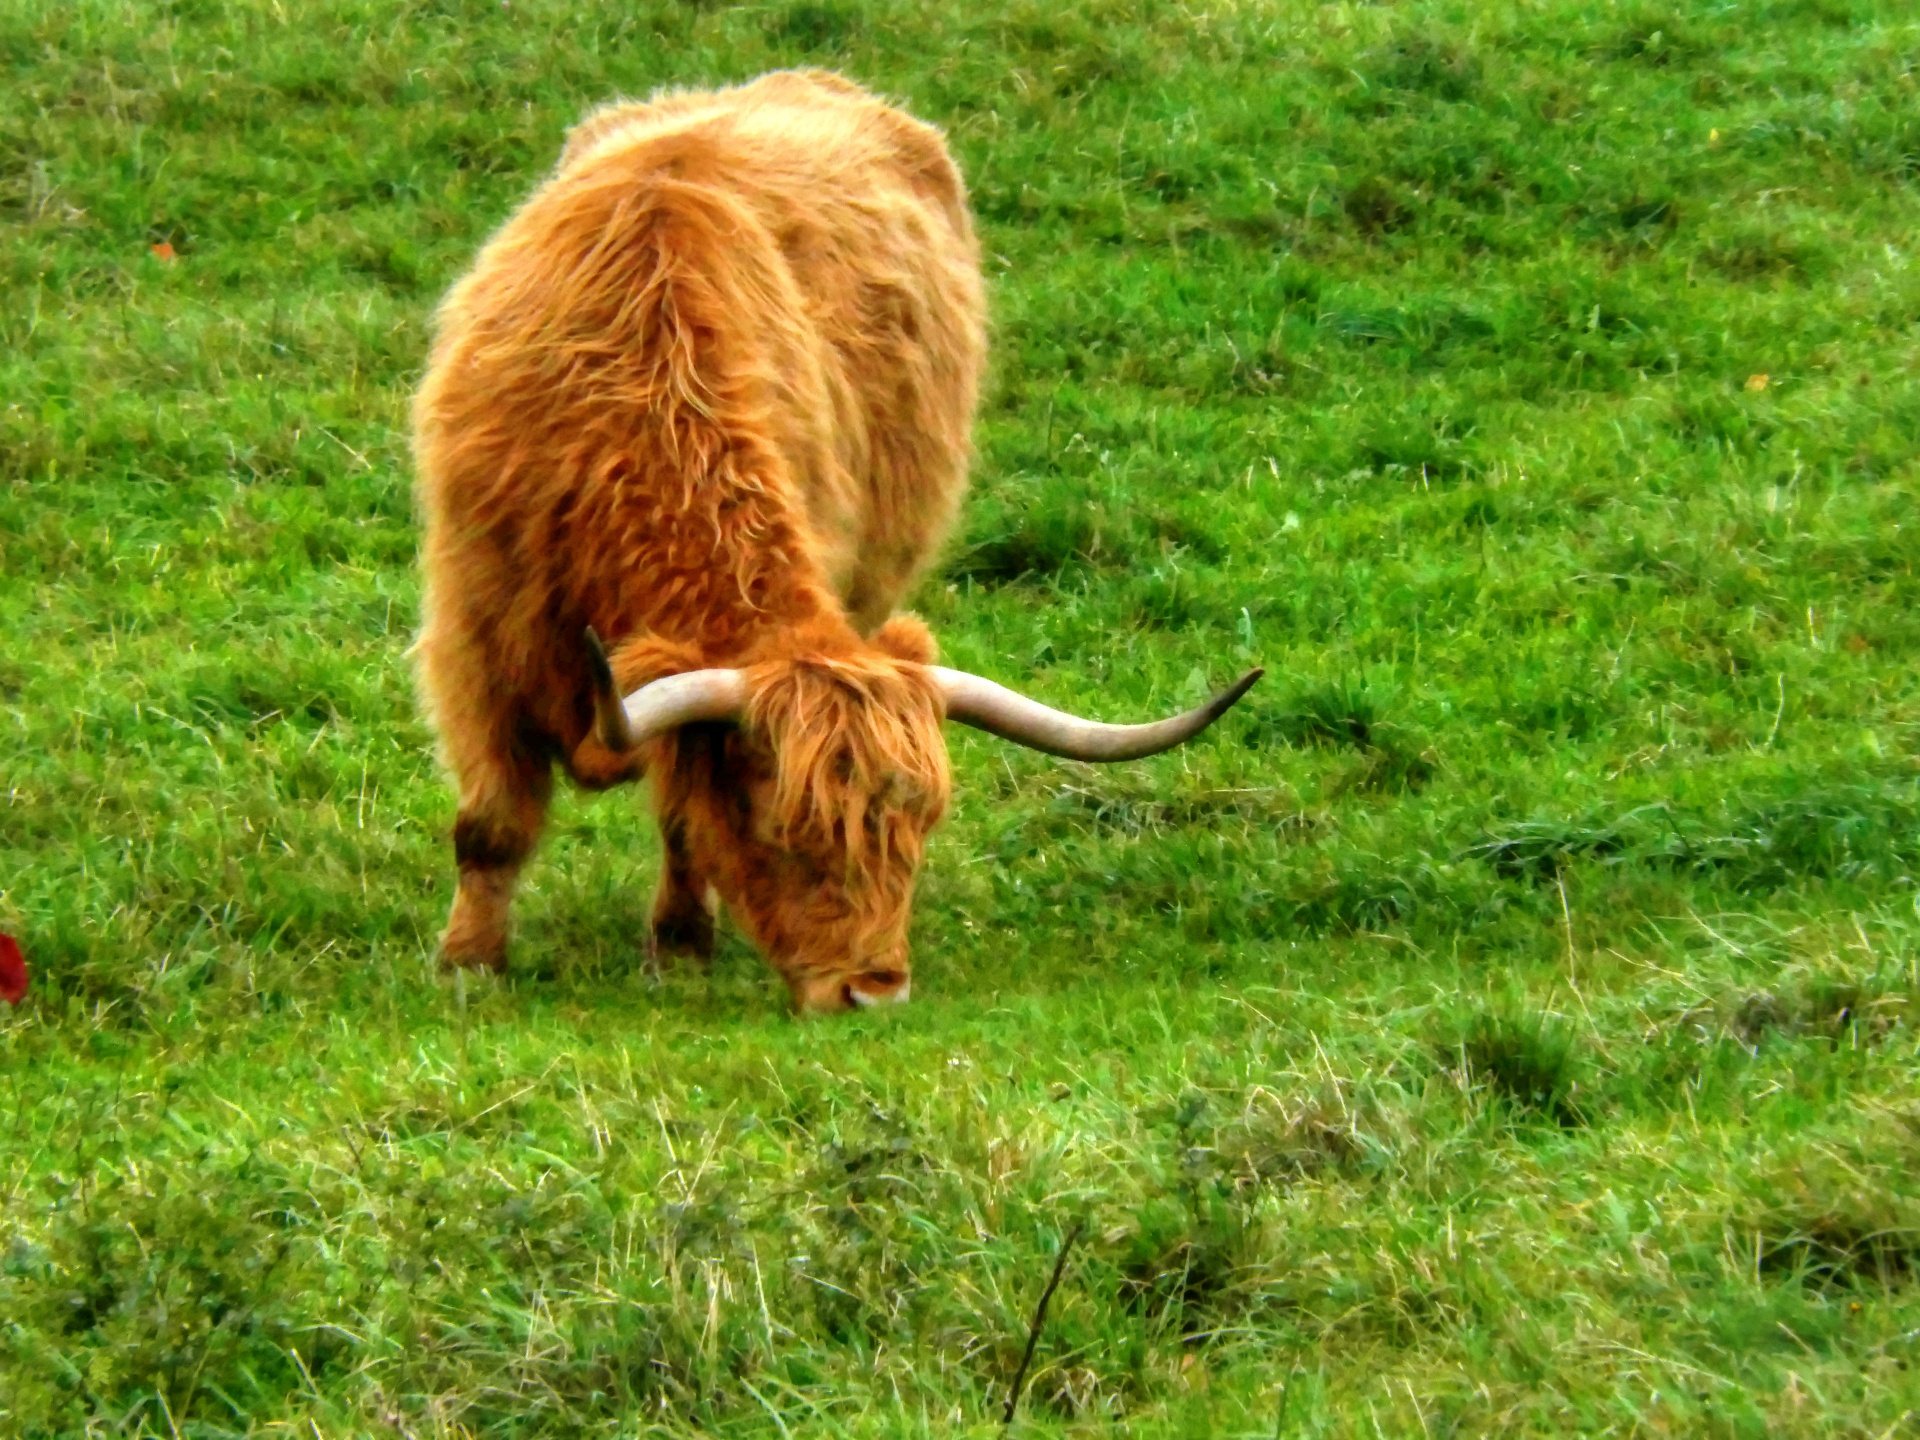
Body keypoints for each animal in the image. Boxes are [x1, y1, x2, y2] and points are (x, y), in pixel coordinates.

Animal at [414, 70, 1259, 1013]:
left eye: (920, 824)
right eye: (786, 827)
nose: (875, 990)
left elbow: (681, 815)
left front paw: (679, 946)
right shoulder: (476, 638)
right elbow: (493, 822)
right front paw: (466, 963)